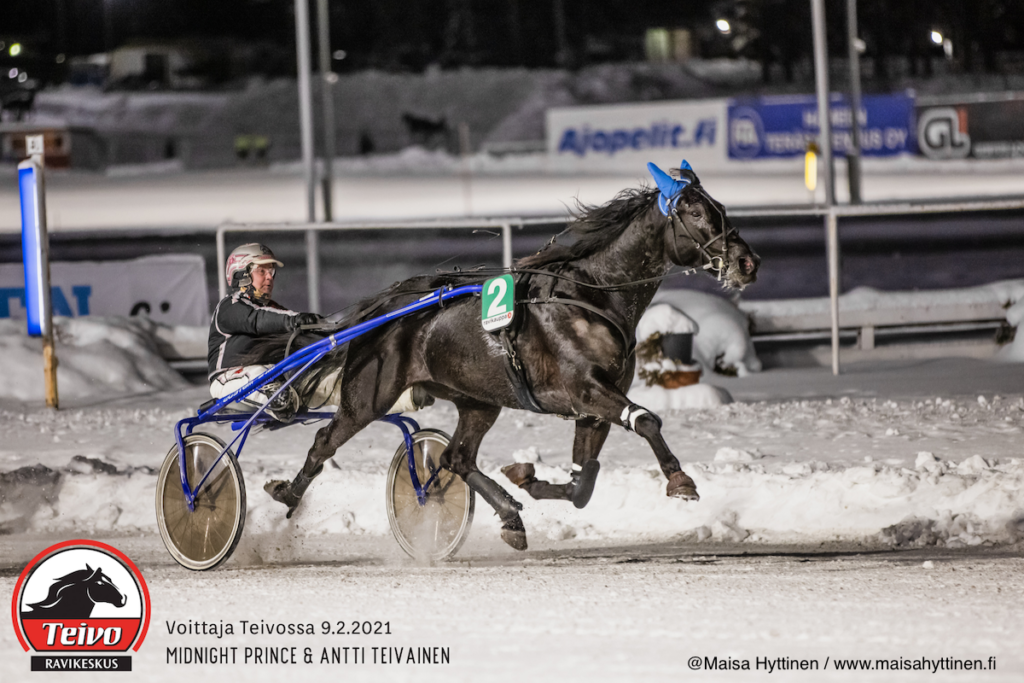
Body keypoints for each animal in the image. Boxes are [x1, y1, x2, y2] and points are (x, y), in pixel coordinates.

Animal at [264, 163, 761, 548]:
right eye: (695, 212)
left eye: (720, 208)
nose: (747, 262)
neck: (591, 296)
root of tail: (384, 313)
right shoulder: (586, 389)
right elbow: (648, 420)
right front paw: (681, 481)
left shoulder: (593, 408)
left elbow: (582, 484)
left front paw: (527, 478)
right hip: (368, 396)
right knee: (324, 441)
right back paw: (287, 494)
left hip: (478, 400)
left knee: (456, 459)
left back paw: (510, 514)